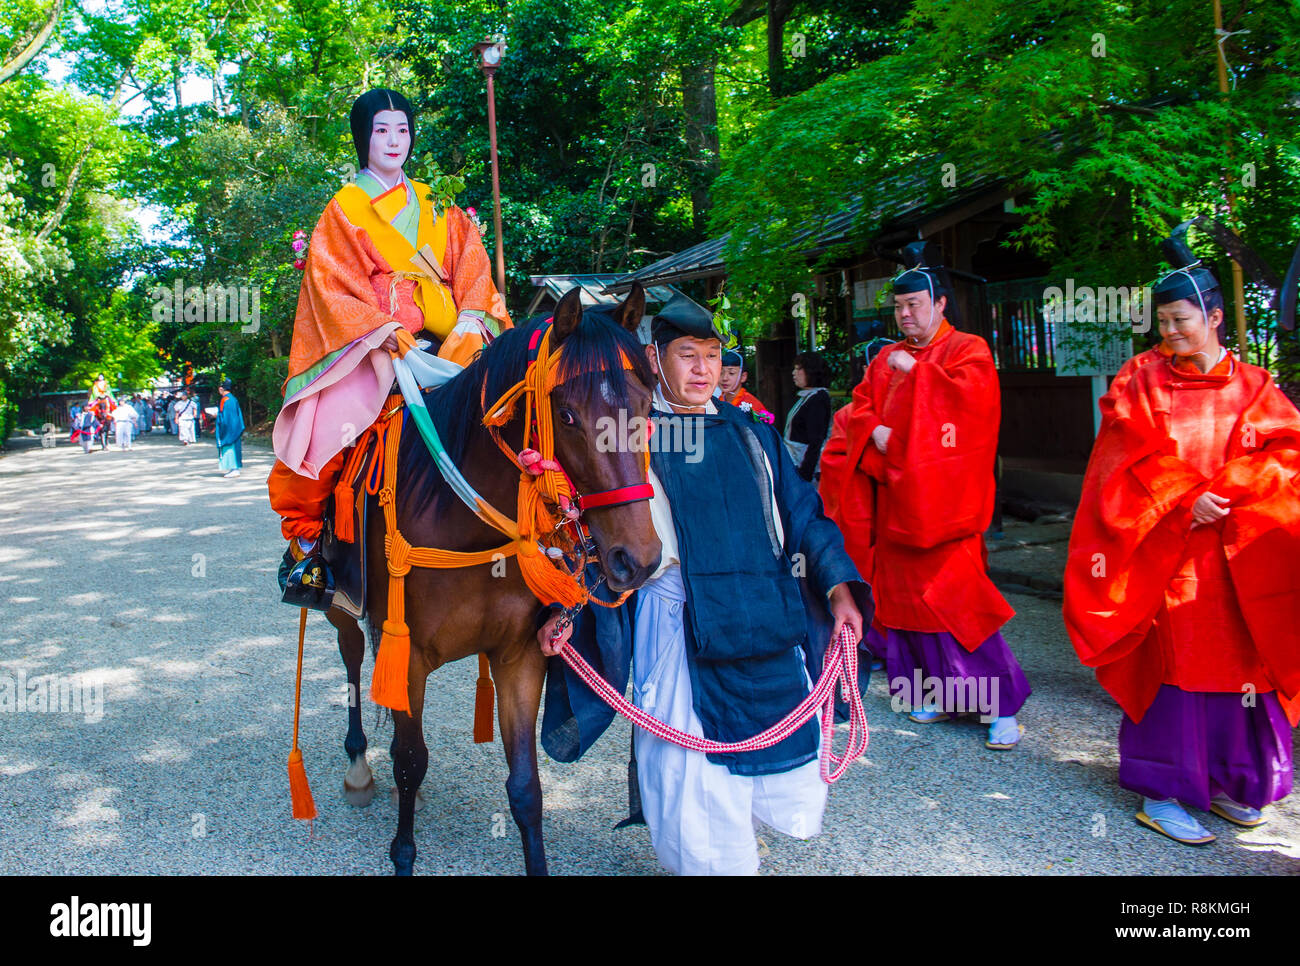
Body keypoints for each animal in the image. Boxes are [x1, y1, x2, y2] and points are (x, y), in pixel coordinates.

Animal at [325, 282, 660, 878]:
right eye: (567, 415)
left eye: (645, 408)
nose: (637, 559)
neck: (466, 520)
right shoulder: (409, 655)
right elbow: (410, 760)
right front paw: (403, 854)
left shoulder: (520, 654)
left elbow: (525, 787)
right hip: (342, 602)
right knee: (352, 661)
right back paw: (359, 764)